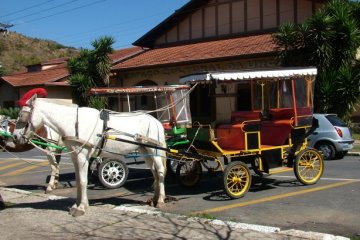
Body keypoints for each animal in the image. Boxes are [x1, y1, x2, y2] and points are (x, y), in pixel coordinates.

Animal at [12, 94, 167, 217]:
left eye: (22, 115)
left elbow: (82, 181)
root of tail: (155, 121)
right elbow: (79, 180)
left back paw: (160, 200)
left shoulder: (82, 156)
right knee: (154, 172)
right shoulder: (76, 156)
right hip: (145, 151)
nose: (15, 137)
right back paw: (153, 199)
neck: (74, 122)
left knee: (159, 172)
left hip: (155, 151)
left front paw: (81, 208)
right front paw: (78, 204)